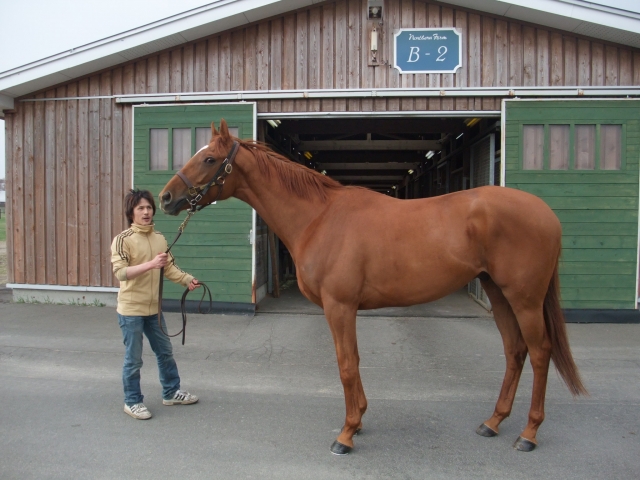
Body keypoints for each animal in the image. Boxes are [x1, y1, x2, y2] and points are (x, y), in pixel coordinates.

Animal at [159, 119, 587, 455]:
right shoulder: (343, 308)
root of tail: (546, 213)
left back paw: (529, 433)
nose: (166, 197)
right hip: (498, 293)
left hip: (524, 298)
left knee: (539, 353)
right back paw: (493, 422)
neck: (319, 217)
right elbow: (352, 363)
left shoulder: (340, 306)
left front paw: (347, 434)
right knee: (515, 351)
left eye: (209, 159)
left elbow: (347, 365)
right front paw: (359, 421)